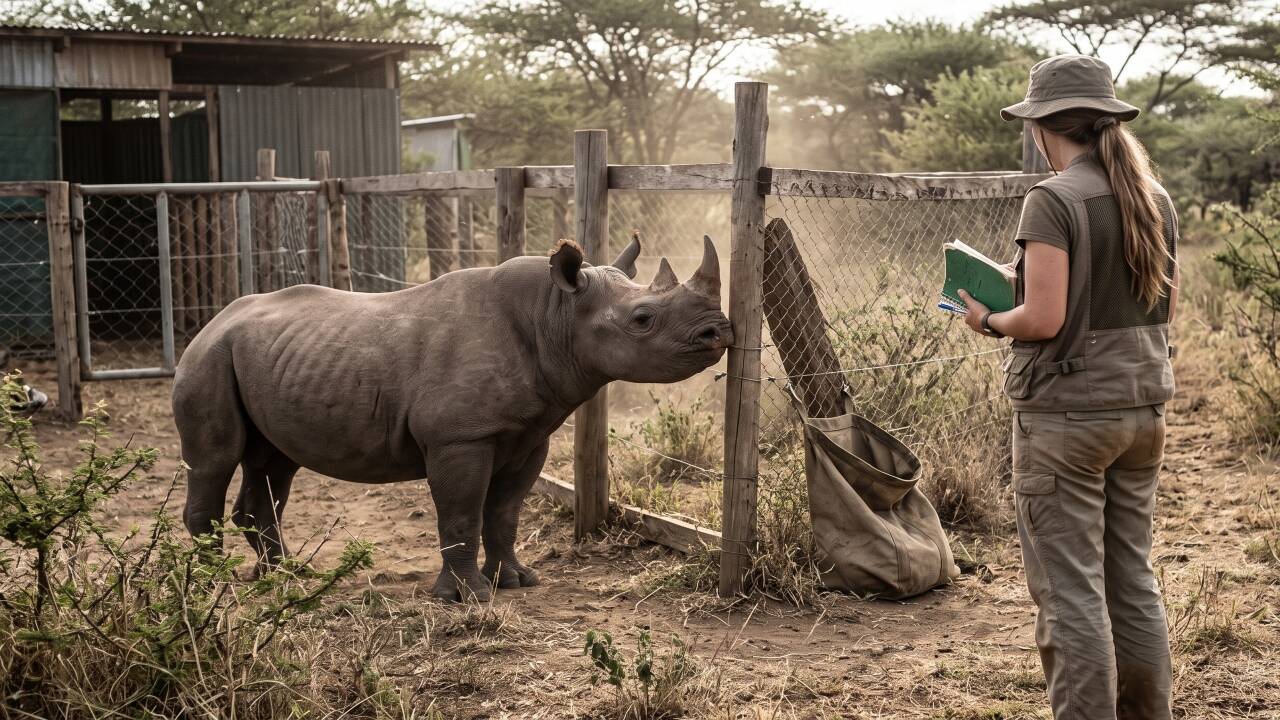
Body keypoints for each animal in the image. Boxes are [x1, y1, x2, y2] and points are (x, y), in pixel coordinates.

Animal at [173, 234, 732, 600]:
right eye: (643, 320)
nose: (719, 332)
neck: (555, 314)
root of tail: (214, 320)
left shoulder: (530, 435)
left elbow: (504, 512)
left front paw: (516, 582)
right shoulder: (459, 437)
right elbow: (461, 509)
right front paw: (466, 598)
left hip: (267, 358)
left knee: (275, 462)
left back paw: (285, 577)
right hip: (207, 359)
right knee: (214, 459)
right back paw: (212, 586)